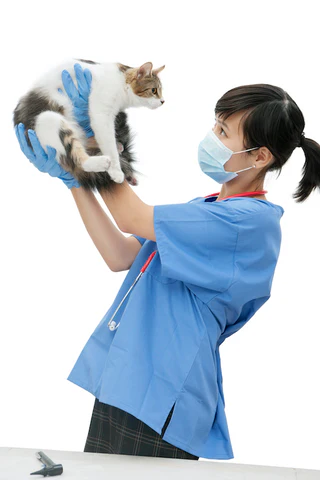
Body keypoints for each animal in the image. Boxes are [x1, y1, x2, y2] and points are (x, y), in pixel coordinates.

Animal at [12, 60, 165, 193]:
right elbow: (108, 144)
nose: (163, 101)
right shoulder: (101, 114)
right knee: (80, 161)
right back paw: (102, 161)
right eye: (153, 90)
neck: (122, 81)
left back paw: (117, 147)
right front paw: (116, 171)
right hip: (48, 118)